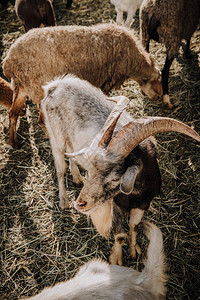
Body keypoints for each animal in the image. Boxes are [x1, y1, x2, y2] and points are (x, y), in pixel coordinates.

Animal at [2, 22, 163, 149]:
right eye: (158, 80)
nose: (159, 96)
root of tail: (9, 62)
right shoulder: (104, 83)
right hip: (39, 90)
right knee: (41, 120)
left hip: (22, 87)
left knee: (12, 113)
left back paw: (14, 143)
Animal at [41, 74, 200, 264]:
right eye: (92, 172)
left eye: (116, 178)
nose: (81, 203)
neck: (135, 195)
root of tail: (55, 86)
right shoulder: (115, 204)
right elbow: (120, 235)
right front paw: (116, 259)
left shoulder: (143, 204)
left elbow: (134, 225)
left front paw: (134, 250)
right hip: (56, 137)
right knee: (60, 168)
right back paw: (64, 200)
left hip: (70, 140)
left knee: (71, 154)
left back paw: (77, 178)